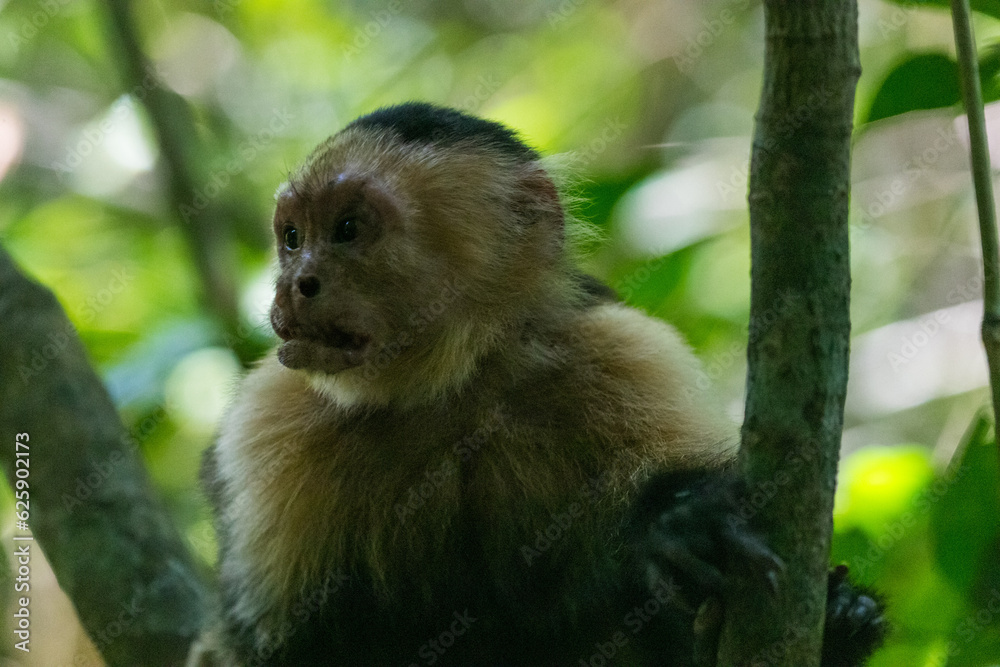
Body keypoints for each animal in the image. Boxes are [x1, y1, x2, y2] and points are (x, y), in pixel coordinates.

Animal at [196, 102, 886, 666]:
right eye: (292, 238)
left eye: (347, 229)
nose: (295, 284)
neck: (448, 387)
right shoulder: (272, 420)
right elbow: (287, 647)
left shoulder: (618, 350)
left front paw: (682, 524)